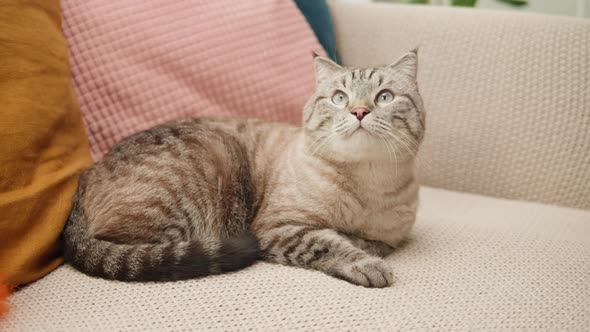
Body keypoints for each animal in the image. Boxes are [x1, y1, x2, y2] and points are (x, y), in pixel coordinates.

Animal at [63, 50, 426, 288]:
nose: (359, 112)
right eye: (339, 98)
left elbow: (366, 241)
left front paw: (361, 245)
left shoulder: (389, 237)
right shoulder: (277, 228)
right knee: (140, 249)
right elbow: (327, 244)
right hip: (209, 161)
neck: (366, 183)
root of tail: (86, 176)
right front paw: (366, 264)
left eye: (385, 97)